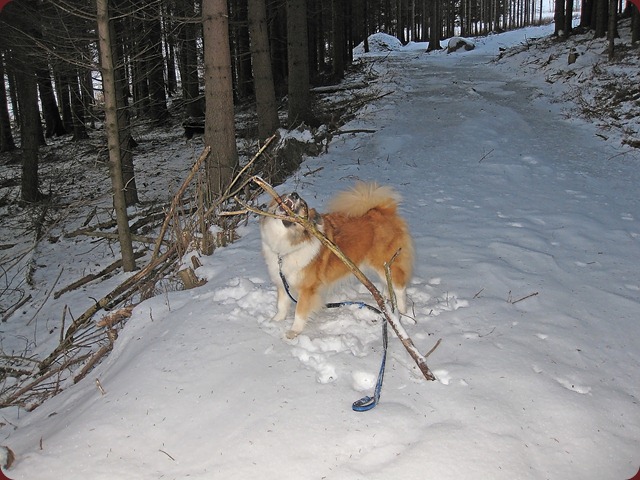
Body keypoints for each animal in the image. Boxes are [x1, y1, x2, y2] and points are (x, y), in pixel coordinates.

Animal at [260, 182, 416, 340]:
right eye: (283, 196)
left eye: (303, 205)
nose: (295, 194)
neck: (287, 241)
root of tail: (381, 210)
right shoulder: (283, 281)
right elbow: (281, 305)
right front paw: (276, 321)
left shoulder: (307, 288)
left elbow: (300, 312)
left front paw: (294, 331)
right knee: (388, 284)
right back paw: (385, 302)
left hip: (385, 262)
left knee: (399, 288)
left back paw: (400, 315)